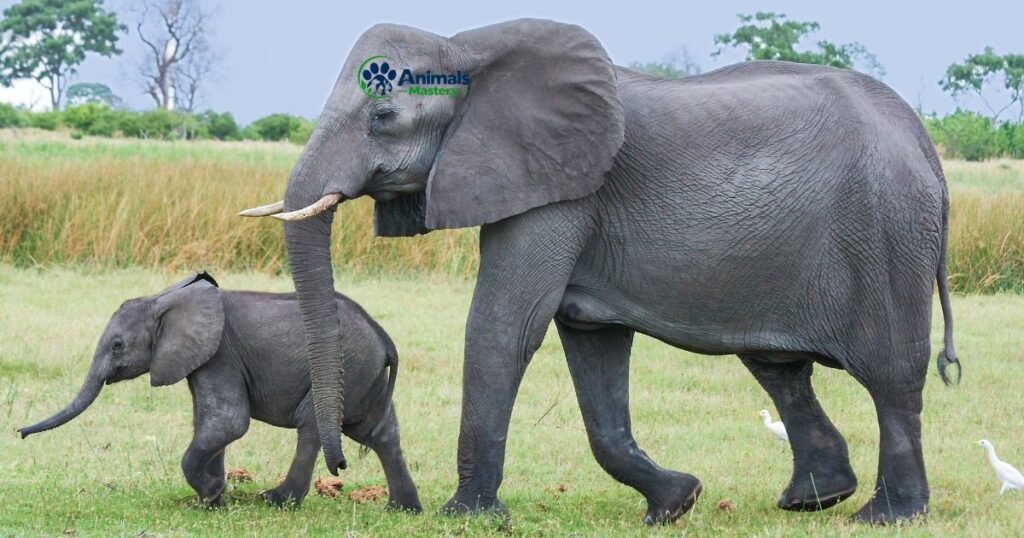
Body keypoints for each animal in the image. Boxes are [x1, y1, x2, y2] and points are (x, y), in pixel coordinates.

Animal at [18, 272, 422, 511]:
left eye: (117, 345)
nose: (19, 433)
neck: (165, 300)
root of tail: (383, 338)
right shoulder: (203, 359)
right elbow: (209, 422)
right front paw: (212, 498)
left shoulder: (221, 354)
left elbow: (228, 422)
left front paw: (211, 494)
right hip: (364, 376)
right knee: (380, 433)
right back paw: (402, 509)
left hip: (346, 368)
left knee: (312, 426)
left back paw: (276, 500)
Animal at [240, 19, 960, 525]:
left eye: (384, 116)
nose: (340, 466)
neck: (468, 47)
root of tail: (924, 142)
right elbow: (592, 347)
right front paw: (676, 502)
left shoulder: (562, 190)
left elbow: (507, 326)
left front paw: (468, 517)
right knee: (780, 369)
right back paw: (811, 501)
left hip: (888, 235)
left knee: (891, 377)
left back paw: (886, 516)